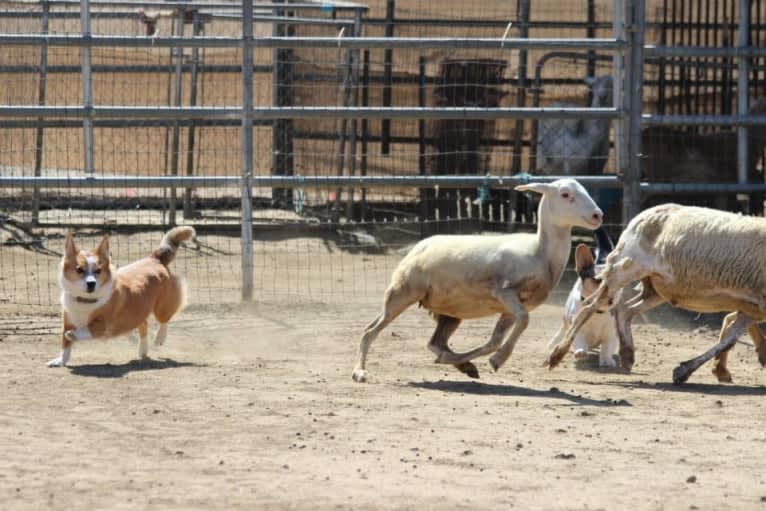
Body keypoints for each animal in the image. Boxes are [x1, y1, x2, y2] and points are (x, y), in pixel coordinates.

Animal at [48, 226, 196, 366]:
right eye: (79, 270)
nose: (91, 284)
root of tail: (155, 258)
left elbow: (82, 330)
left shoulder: (102, 325)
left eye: (98, 270)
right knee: (144, 325)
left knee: (164, 320)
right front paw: (60, 361)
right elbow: (65, 345)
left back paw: (159, 338)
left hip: (161, 308)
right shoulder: (67, 322)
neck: (85, 300)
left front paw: (73, 335)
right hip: (137, 313)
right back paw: (143, 351)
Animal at [352, 178, 608, 382]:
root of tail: (420, 245)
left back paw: (462, 364)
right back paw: (360, 372)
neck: (539, 252)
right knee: (369, 331)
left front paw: (492, 360)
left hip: (450, 311)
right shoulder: (504, 291)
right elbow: (523, 322)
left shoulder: (511, 308)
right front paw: (499, 359)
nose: (598, 215)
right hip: (402, 292)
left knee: (435, 343)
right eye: (565, 194)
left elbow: (497, 339)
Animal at [548, 228, 620, 368]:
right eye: (598, 280)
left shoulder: (611, 333)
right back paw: (554, 342)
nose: (611, 296)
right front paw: (580, 351)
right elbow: (578, 340)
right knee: (563, 328)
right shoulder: (576, 328)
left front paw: (606, 359)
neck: (597, 312)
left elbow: (607, 347)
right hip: (565, 316)